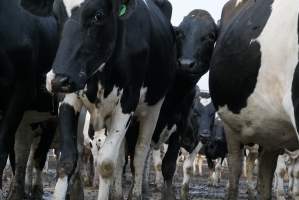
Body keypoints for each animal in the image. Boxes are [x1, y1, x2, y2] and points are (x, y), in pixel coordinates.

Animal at [45, 0, 178, 198]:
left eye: (98, 15)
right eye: (55, 14)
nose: (57, 80)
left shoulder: (127, 103)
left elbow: (106, 164)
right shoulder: (68, 98)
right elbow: (67, 160)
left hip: (153, 109)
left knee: (140, 154)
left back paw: (135, 194)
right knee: (119, 156)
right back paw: (116, 193)